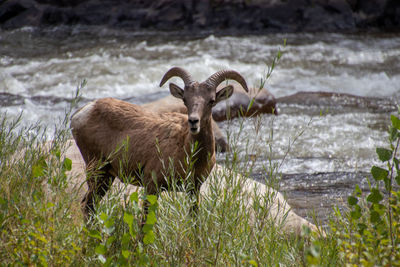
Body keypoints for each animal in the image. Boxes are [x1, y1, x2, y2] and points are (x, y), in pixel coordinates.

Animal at [70, 67, 248, 218]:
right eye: (185, 100)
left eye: (211, 100)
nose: (193, 122)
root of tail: (82, 113)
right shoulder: (151, 186)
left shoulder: (193, 190)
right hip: (96, 171)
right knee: (87, 206)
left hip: (106, 176)